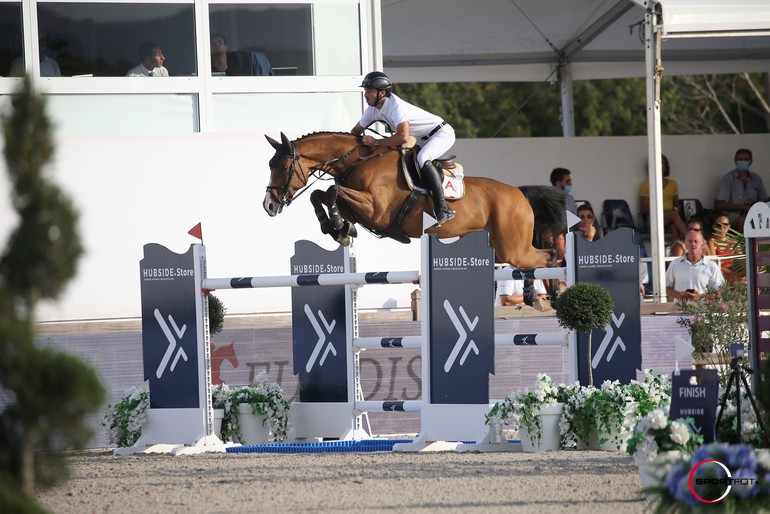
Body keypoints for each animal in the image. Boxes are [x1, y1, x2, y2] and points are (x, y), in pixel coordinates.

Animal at [264, 130, 564, 268]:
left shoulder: (376, 210)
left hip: (513, 248)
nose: (269, 205)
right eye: (270, 164)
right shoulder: (360, 210)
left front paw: (337, 227)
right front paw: (338, 229)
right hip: (504, 249)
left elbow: (332, 192)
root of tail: (518, 192)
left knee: (548, 257)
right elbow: (320, 195)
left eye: (283, 166)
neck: (356, 162)